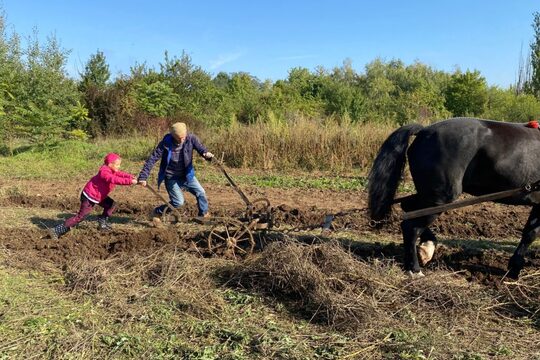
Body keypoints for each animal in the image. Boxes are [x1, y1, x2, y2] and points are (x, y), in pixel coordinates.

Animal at [370, 116, 540, 278]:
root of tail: (424, 131)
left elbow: (529, 233)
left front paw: (515, 267)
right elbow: (531, 234)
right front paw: (515, 267)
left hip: (429, 196)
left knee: (408, 209)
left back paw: (426, 249)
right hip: (440, 198)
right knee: (411, 227)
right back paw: (414, 269)